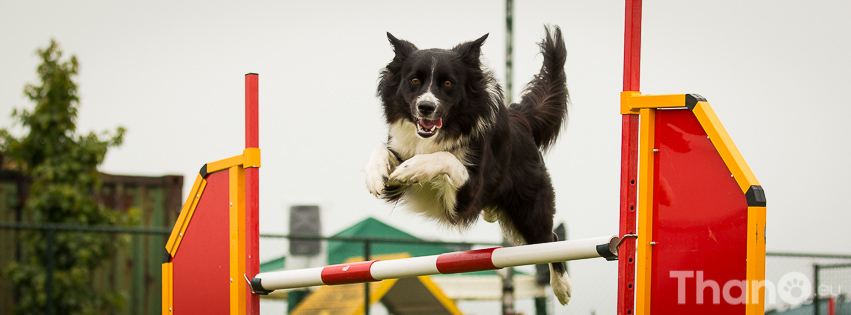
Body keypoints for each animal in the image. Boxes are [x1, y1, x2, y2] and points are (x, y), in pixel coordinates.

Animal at [366, 27, 572, 306]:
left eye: (448, 83)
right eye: (414, 80)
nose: (426, 107)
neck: (443, 131)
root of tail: (520, 116)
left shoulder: (468, 195)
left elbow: (447, 158)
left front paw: (412, 168)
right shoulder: (398, 163)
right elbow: (381, 153)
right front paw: (375, 175)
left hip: (529, 207)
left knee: (550, 239)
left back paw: (562, 287)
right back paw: (490, 213)